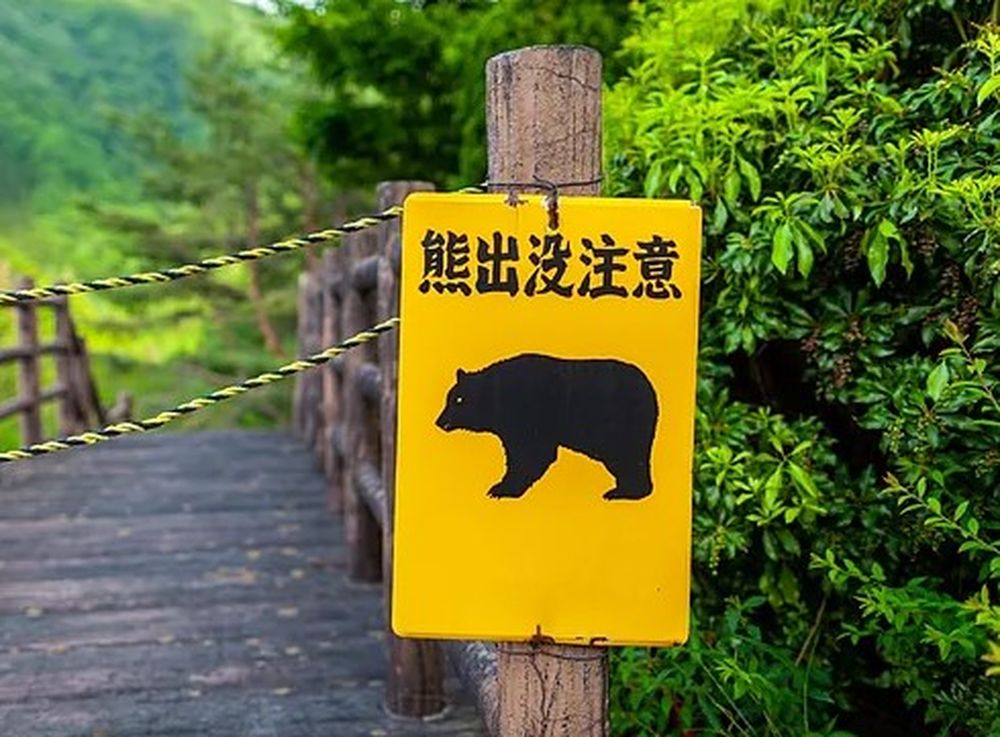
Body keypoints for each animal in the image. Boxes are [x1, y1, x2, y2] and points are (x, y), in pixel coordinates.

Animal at [435, 353, 658, 501]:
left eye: (458, 400)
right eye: (450, 398)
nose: (439, 421)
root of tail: (650, 388)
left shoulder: (530, 417)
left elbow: (531, 454)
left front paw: (502, 488)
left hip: (621, 425)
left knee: (628, 456)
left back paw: (624, 492)